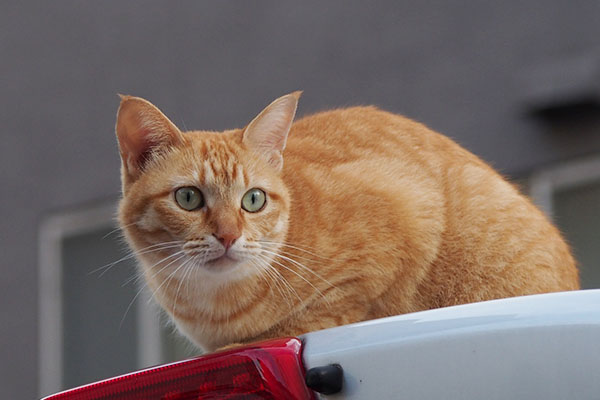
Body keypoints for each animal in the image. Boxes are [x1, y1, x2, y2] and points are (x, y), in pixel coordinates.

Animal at [115, 92, 580, 352]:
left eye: (253, 200)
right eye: (188, 198)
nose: (229, 236)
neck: (215, 305)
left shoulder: (404, 213)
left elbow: (333, 309)